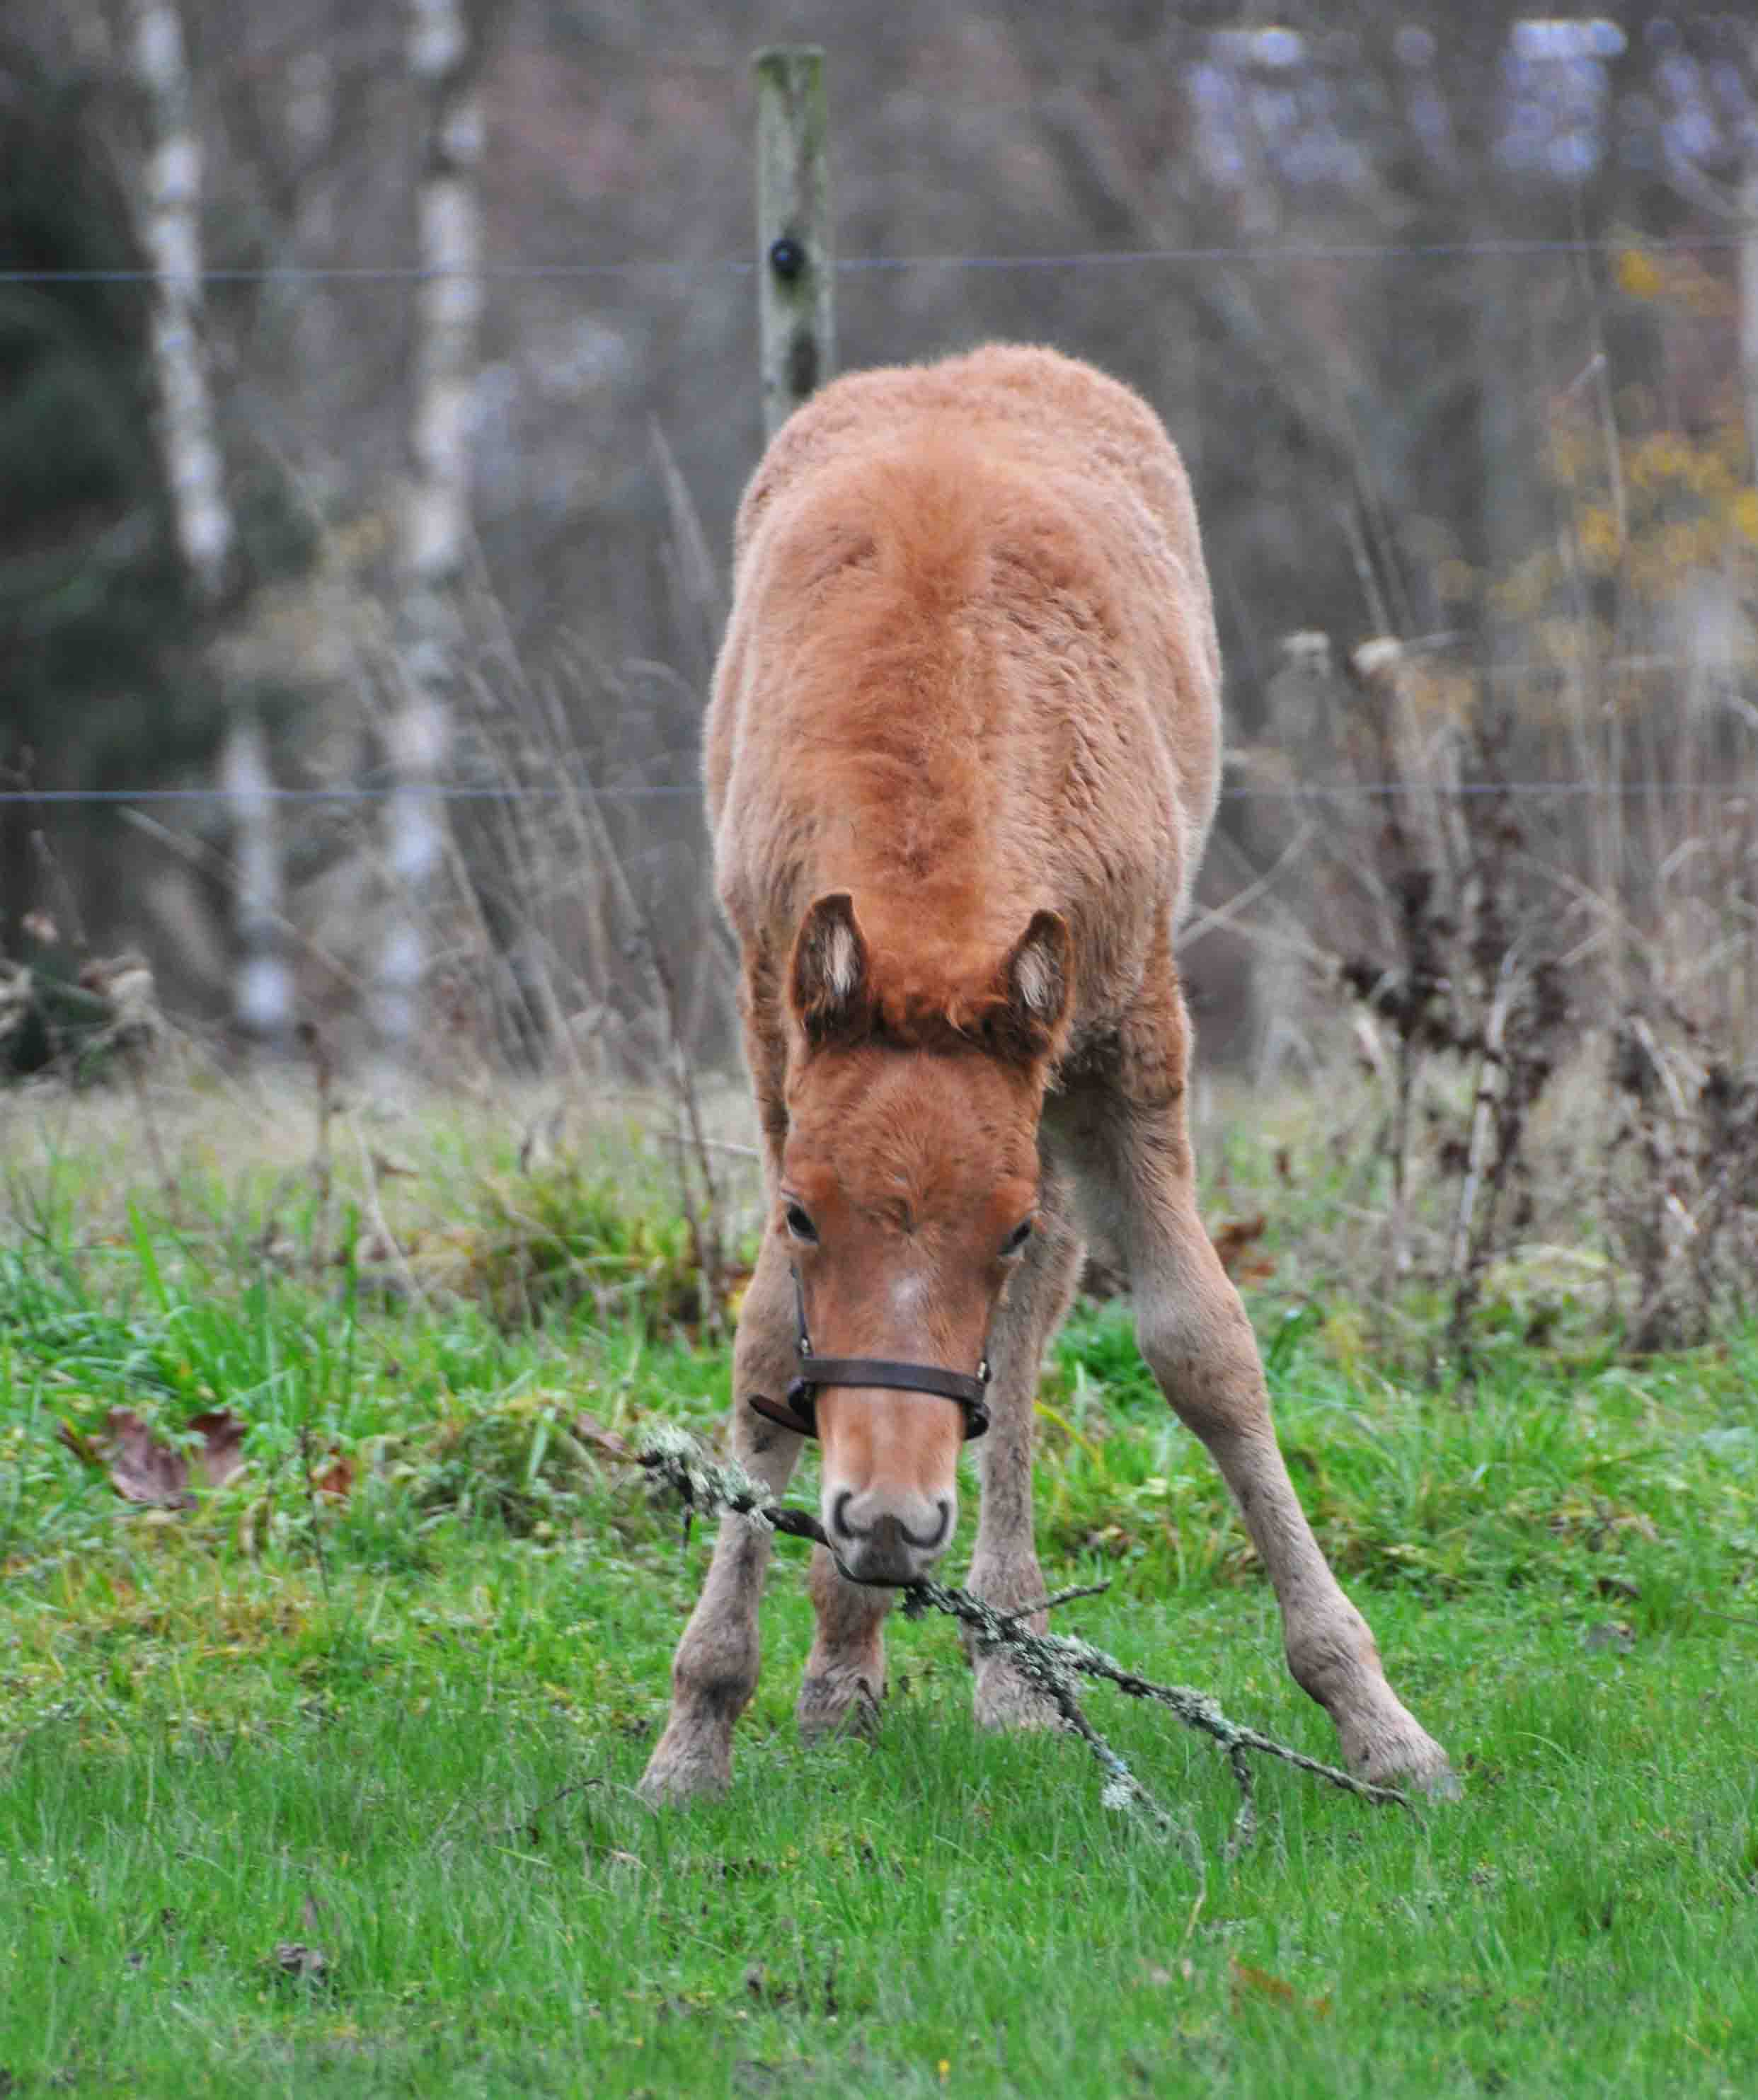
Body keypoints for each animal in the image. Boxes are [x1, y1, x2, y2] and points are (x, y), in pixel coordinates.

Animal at [638, 344, 1444, 1806]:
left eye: (996, 1226)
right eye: (802, 1213)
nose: (884, 1517)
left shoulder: (1128, 1038)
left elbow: (1199, 1346)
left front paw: (1376, 1718)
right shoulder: (774, 1035)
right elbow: (768, 1342)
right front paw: (698, 1722)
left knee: (1032, 1327)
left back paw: (1007, 1658)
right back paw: (847, 1662)